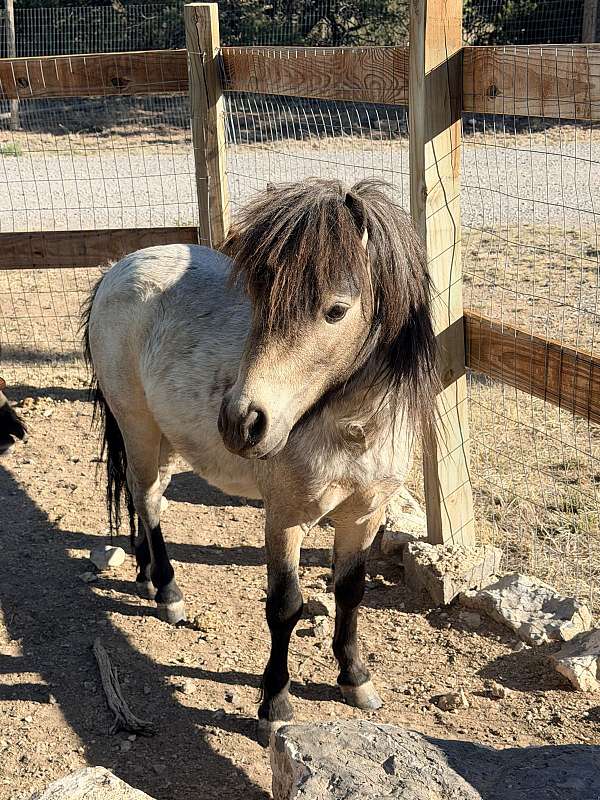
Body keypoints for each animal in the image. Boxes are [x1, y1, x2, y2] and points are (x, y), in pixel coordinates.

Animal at [82, 178, 438, 744]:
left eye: (336, 310)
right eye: (257, 296)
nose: (241, 422)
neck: (348, 428)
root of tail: (118, 269)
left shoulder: (364, 515)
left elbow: (351, 591)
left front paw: (354, 678)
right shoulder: (285, 518)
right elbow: (285, 606)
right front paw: (275, 704)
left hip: (164, 439)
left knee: (143, 497)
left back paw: (144, 574)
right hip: (137, 427)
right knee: (148, 499)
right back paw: (167, 591)